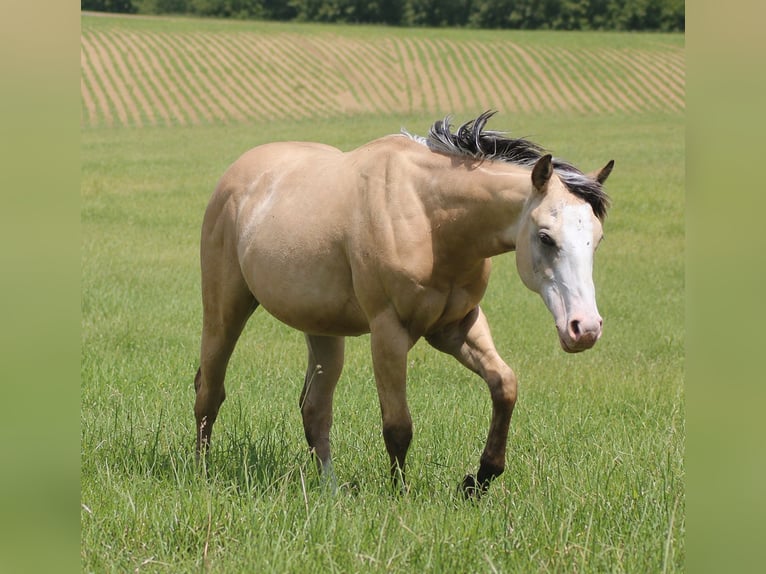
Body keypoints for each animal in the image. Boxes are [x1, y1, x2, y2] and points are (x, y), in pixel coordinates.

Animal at [193, 110, 612, 496]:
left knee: (314, 409)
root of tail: (236, 176)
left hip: (323, 330)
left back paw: (331, 492)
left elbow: (505, 385)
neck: (429, 216)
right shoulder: (389, 331)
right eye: (545, 236)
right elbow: (398, 425)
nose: (584, 328)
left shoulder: (457, 327)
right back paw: (202, 472)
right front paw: (400, 494)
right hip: (225, 310)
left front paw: (479, 479)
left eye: (597, 238)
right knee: (209, 390)